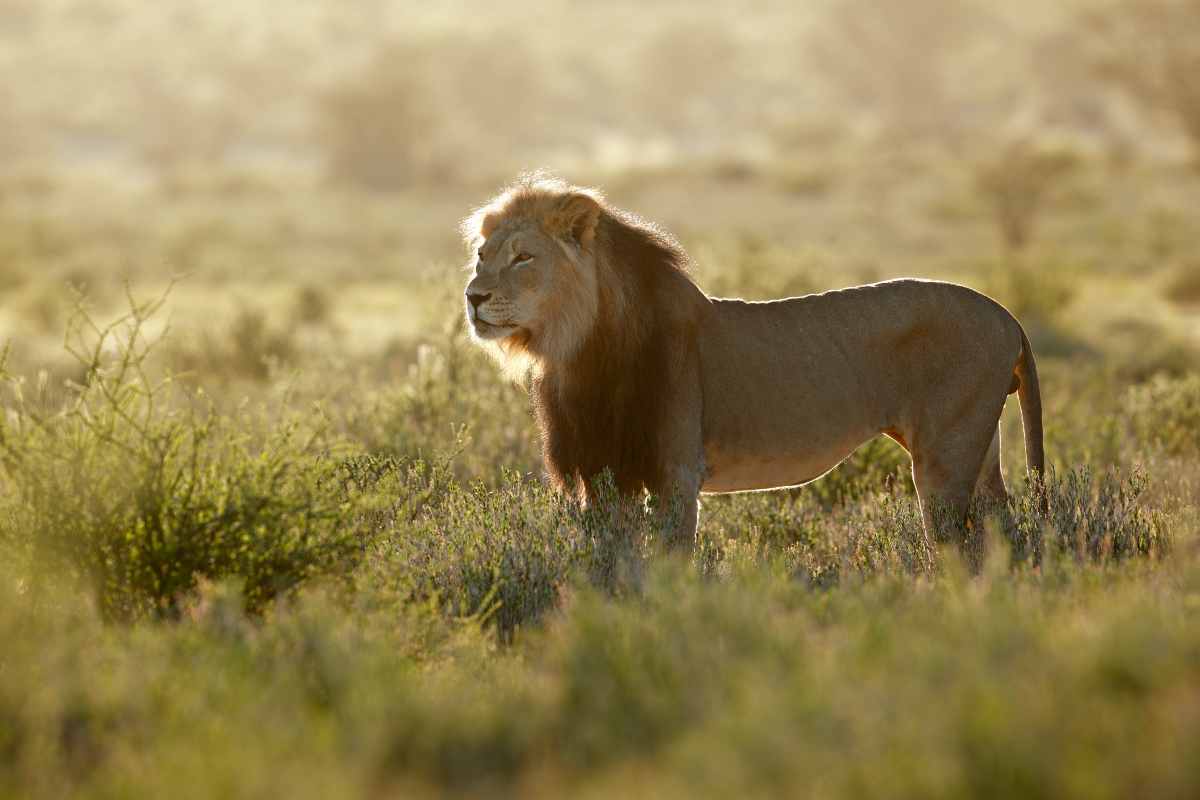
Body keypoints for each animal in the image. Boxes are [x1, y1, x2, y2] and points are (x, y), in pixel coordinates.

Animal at [463, 175, 1046, 551]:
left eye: (523, 257)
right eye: (481, 257)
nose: (472, 296)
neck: (575, 350)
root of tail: (1006, 314)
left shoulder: (675, 473)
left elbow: (666, 563)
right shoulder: (604, 474)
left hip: (945, 455)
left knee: (955, 545)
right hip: (978, 445)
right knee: (1002, 530)